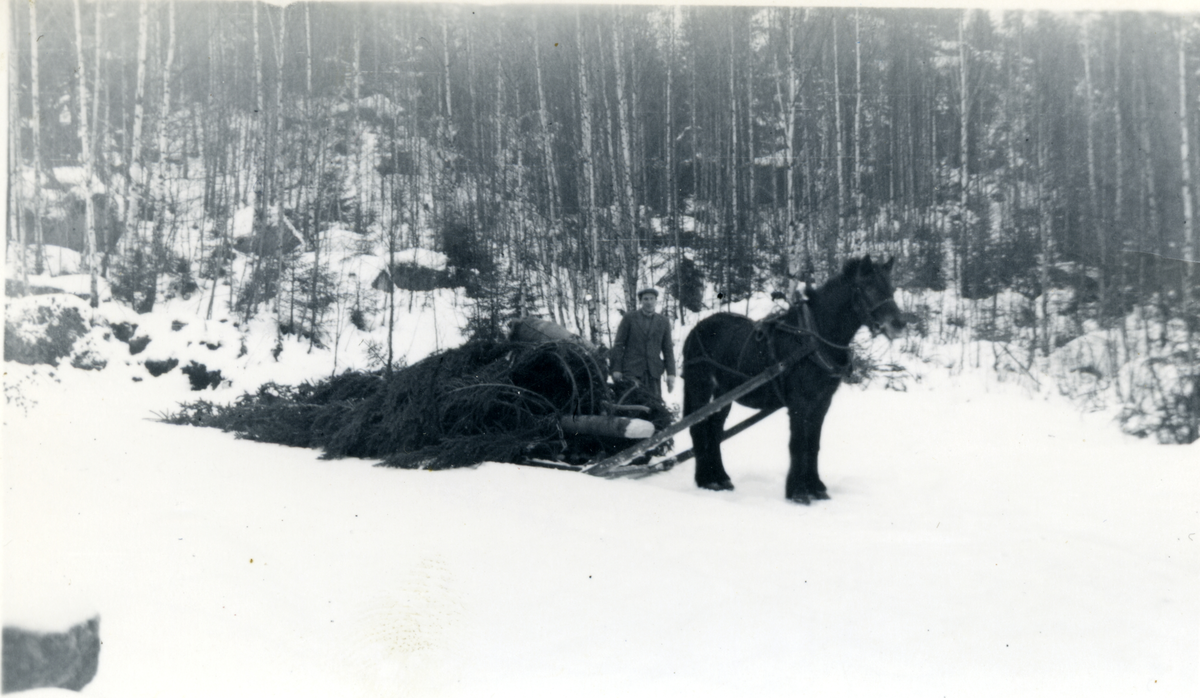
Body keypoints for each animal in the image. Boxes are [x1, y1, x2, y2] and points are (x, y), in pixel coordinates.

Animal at [681, 254, 902, 506]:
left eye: (891, 288)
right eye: (868, 287)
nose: (899, 324)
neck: (814, 340)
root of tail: (696, 329)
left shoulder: (821, 402)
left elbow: (813, 444)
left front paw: (816, 488)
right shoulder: (799, 402)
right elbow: (798, 444)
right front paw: (798, 492)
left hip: (723, 394)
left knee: (714, 430)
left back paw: (719, 478)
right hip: (698, 386)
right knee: (698, 428)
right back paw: (705, 480)